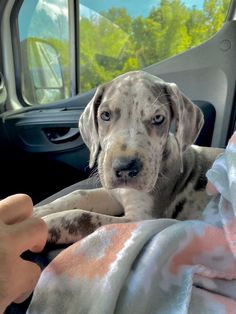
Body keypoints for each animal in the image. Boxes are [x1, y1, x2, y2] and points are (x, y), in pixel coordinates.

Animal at [34, 70, 224, 244]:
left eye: (158, 118)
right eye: (105, 115)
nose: (125, 167)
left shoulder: (139, 219)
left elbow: (82, 217)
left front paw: (43, 224)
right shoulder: (114, 195)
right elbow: (79, 194)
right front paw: (38, 211)